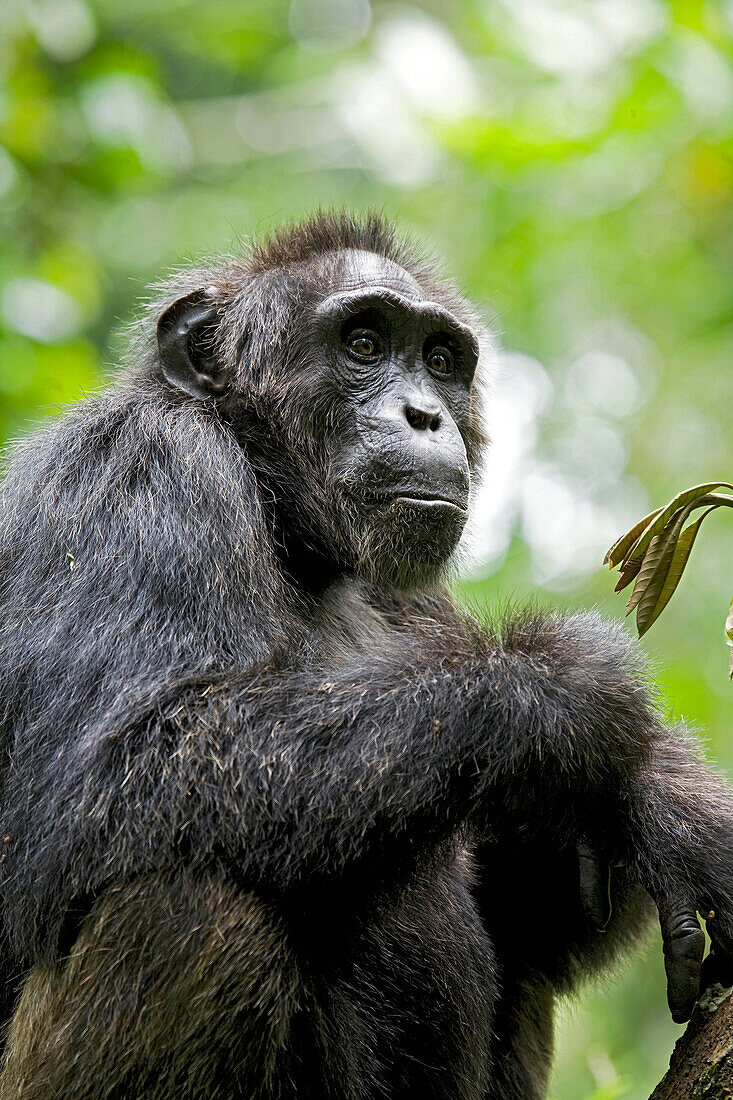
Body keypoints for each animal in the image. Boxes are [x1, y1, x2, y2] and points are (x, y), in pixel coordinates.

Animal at [0, 210, 730, 1095]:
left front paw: (665, 805)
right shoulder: (139, 475)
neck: (288, 516)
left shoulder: (416, 595)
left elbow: (537, 915)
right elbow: (111, 774)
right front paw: (567, 687)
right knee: (189, 904)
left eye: (441, 360)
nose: (424, 413)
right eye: (363, 344)